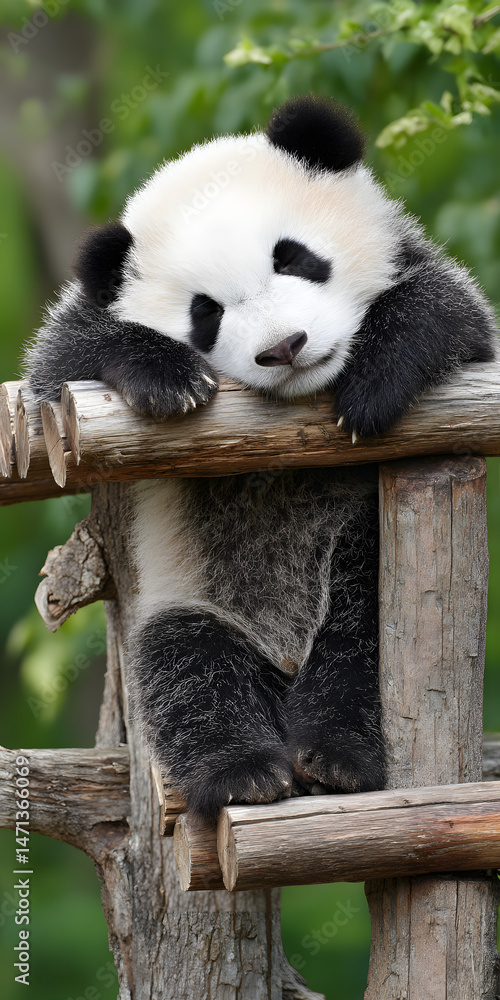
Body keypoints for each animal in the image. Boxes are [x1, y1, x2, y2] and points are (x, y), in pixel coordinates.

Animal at [24, 96, 497, 818]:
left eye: (294, 259)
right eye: (205, 312)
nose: (286, 346)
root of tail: (283, 661)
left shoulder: (425, 276)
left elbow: (452, 312)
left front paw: (375, 383)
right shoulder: (68, 369)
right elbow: (55, 376)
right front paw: (167, 376)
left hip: (354, 561)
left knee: (363, 624)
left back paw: (334, 756)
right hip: (191, 594)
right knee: (185, 659)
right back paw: (246, 772)